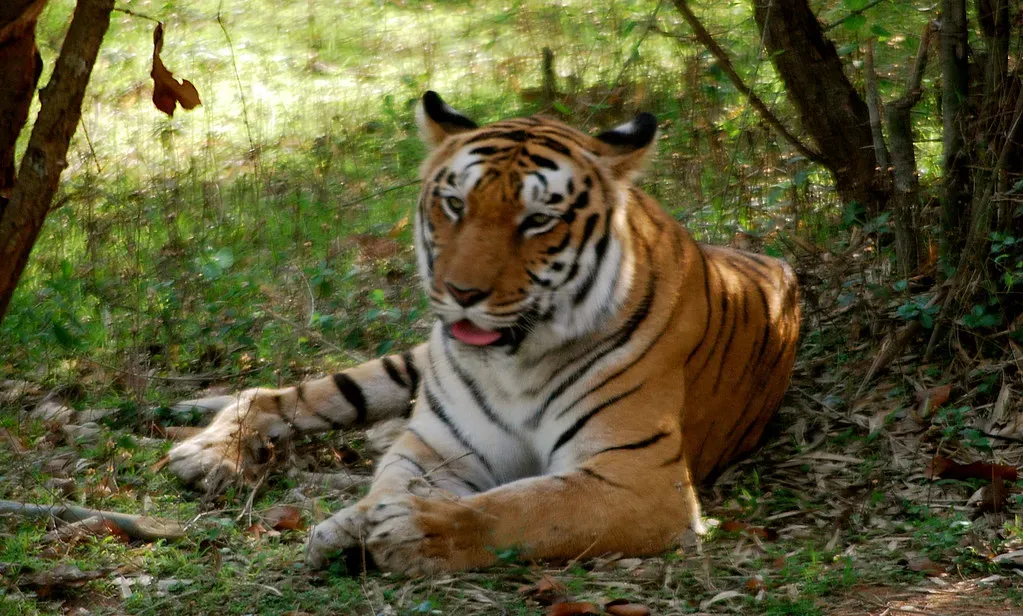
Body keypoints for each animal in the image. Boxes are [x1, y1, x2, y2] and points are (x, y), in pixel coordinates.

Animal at [167, 91, 801, 574]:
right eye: (454, 204)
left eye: (538, 220)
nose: (461, 292)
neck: (518, 364)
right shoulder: (440, 445)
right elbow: (394, 481)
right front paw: (353, 524)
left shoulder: (638, 478)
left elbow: (525, 508)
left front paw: (409, 530)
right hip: (405, 364)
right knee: (269, 393)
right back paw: (206, 454)